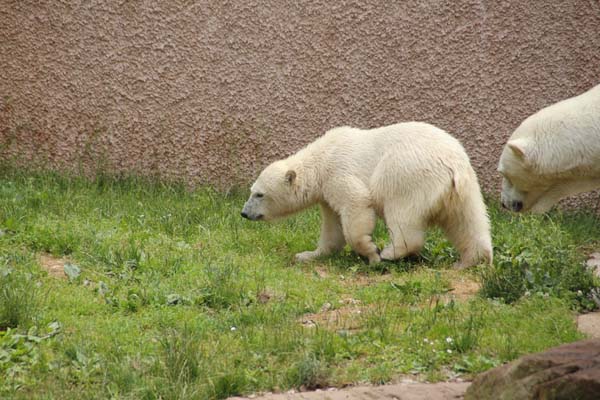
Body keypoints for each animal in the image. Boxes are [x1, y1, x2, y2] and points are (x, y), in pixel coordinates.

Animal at [240, 120, 492, 268]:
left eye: (259, 194)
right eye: (252, 191)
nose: (244, 213)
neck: (321, 159)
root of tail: (452, 165)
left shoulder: (338, 173)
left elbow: (356, 204)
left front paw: (372, 253)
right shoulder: (326, 194)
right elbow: (332, 229)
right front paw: (308, 254)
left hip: (408, 175)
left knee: (403, 216)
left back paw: (391, 252)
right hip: (465, 189)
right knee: (468, 221)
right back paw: (472, 259)